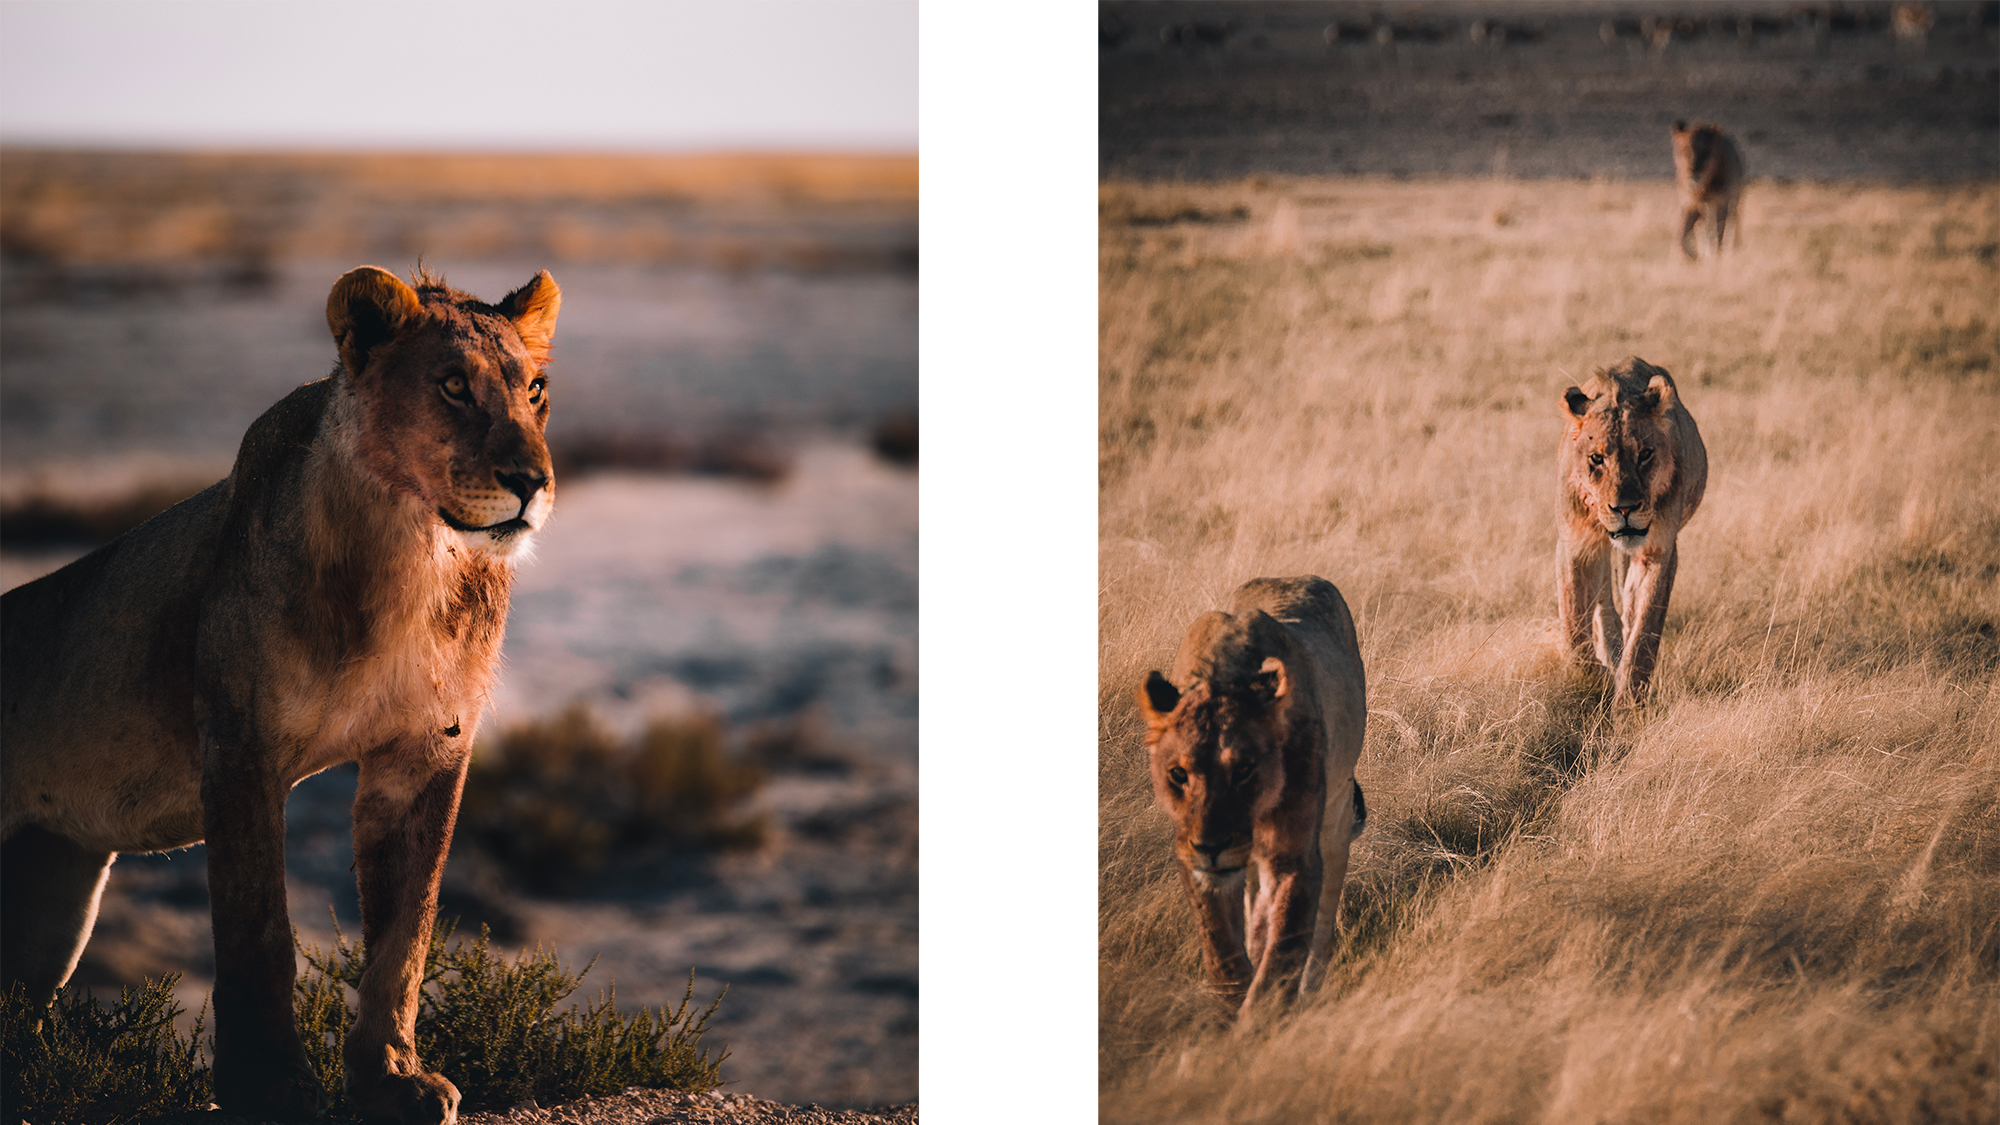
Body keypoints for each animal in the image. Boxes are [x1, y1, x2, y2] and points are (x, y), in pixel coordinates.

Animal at [3, 264, 564, 1120]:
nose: (531, 481)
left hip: (50, 901)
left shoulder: (426, 748)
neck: (411, 550)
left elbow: (406, 932)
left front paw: (392, 1076)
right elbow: (258, 926)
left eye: (534, 390)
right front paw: (271, 1084)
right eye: (451, 385)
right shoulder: (241, 743)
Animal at [1136, 572, 1368, 1020]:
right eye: (1178, 774)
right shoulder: (1194, 858)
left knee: (1321, 923)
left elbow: (1282, 956)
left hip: (1336, 817)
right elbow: (1222, 950)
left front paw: (1257, 1023)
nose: (1211, 846)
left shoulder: (1294, 856)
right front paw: (1234, 1004)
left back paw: (1311, 985)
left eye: (1244, 770)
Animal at [1664, 119, 1744, 260]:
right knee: (1702, 231)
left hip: (1732, 204)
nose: (1693, 172)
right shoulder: (1690, 205)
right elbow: (1681, 234)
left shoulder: (1721, 204)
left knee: (1728, 227)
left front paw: (1715, 255)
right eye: (1686, 150)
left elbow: (1718, 232)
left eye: (1705, 152)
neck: (1702, 189)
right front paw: (1688, 255)